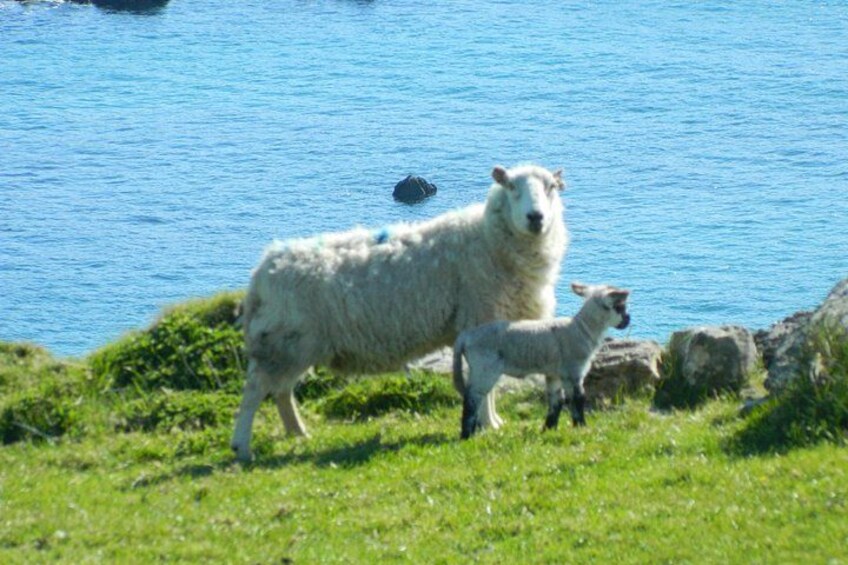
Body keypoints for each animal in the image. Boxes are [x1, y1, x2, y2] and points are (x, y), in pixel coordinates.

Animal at [231, 164, 568, 461]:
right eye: (511, 187)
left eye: (550, 187)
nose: (535, 217)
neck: (487, 240)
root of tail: (262, 270)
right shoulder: (480, 322)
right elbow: (485, 386)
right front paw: (488, 424)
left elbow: (491, 385)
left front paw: (493, 421)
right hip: (283, 342)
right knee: (255, 391)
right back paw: (243, 447)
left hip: (291, 345)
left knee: (281, 392)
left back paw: (298, 433)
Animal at [453, 283, 631, 439]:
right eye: (620, 307)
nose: (628, 320)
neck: (583, 329)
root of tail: (465, 337)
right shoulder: (573, 371)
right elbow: (577, 399)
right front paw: (581, 427)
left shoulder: (555, 374)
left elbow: (556, 402)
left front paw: (548, 429)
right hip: (485, 368)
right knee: (471, 400)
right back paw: (467, 436)